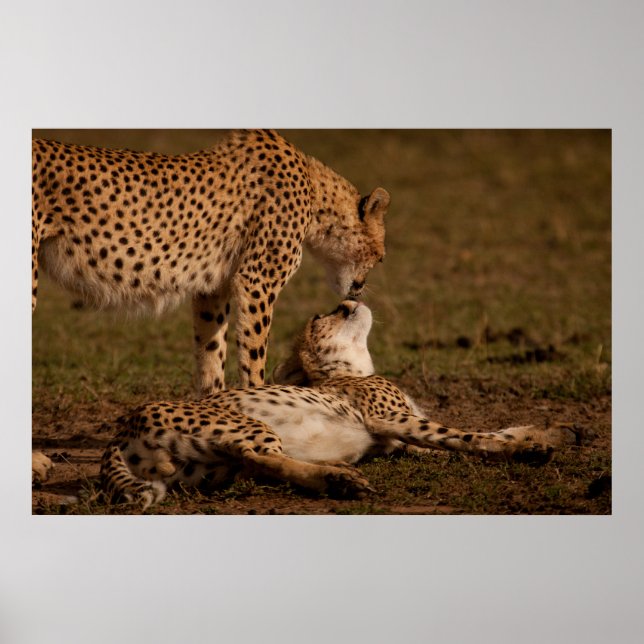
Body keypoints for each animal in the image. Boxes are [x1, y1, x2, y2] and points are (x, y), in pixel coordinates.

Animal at [100, 300, 577, 510]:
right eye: (320, 317)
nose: (349, 301)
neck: (349, 368)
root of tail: (121, 427)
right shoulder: (394, 420)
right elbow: (468, 436)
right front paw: (530, 448)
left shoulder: (401, 434)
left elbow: (481, 432)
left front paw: (551, 433)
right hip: (248, 427)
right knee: (258, 458)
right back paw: (340, 479)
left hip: (206, 469)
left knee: (254, 466)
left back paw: (336, 476)